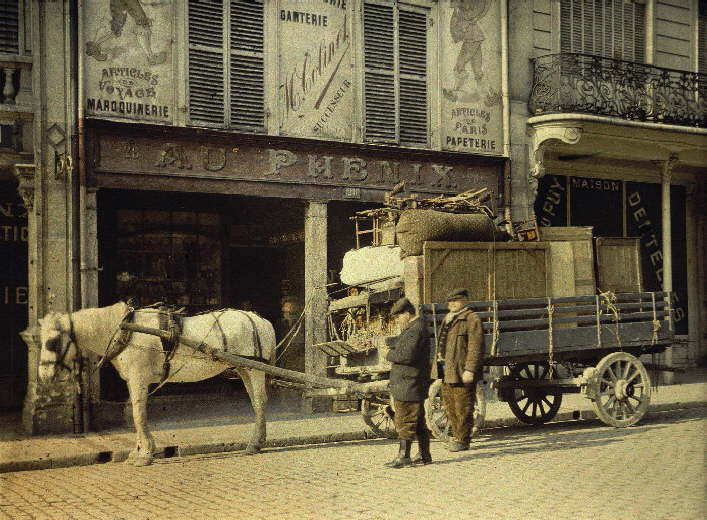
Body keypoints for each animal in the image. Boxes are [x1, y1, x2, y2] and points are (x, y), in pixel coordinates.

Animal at [38, 300, 276, 468]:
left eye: (52, 342)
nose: (43, 375)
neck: (126, 331)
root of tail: (262, 320)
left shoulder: (139, 379)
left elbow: (138, 415)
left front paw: (144, 455)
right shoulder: (133, 381)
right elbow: (134, 414)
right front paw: (139, 452)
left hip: (255, 369)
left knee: (260, 403)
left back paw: (254, 444)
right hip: (244, 369)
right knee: (256, 404)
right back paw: (257, 442)